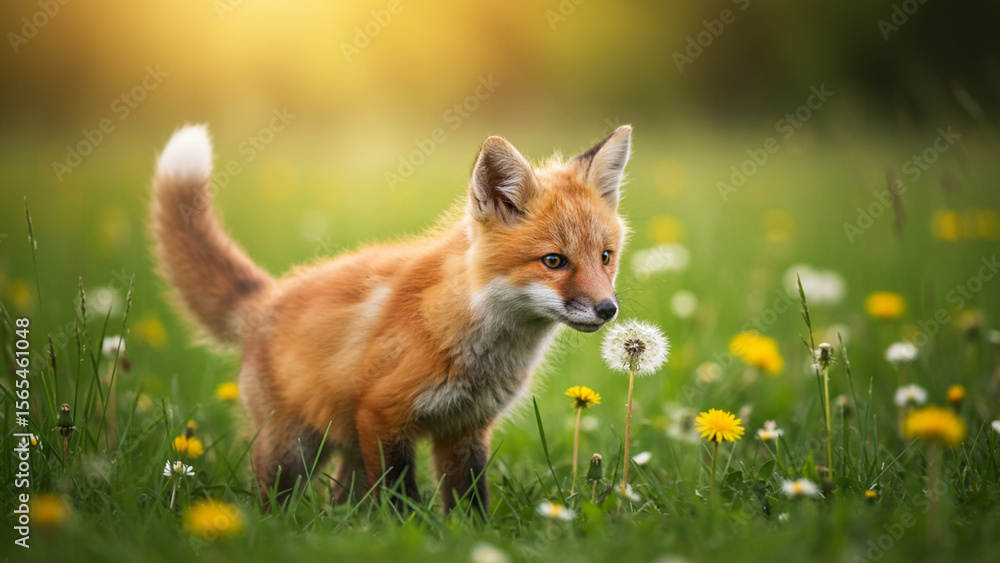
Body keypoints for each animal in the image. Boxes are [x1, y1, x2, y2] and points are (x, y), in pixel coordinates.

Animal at [150, 123, 632, 514]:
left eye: (605, 257)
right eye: (553, 261)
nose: (608, 309)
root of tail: (267, 298)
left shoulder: (465, 429)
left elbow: (469, 502)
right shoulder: (383, 414)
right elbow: (401, 499)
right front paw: (407, 533)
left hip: (347, 451)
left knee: (340, 504)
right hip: (295, 450)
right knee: (273, 501)